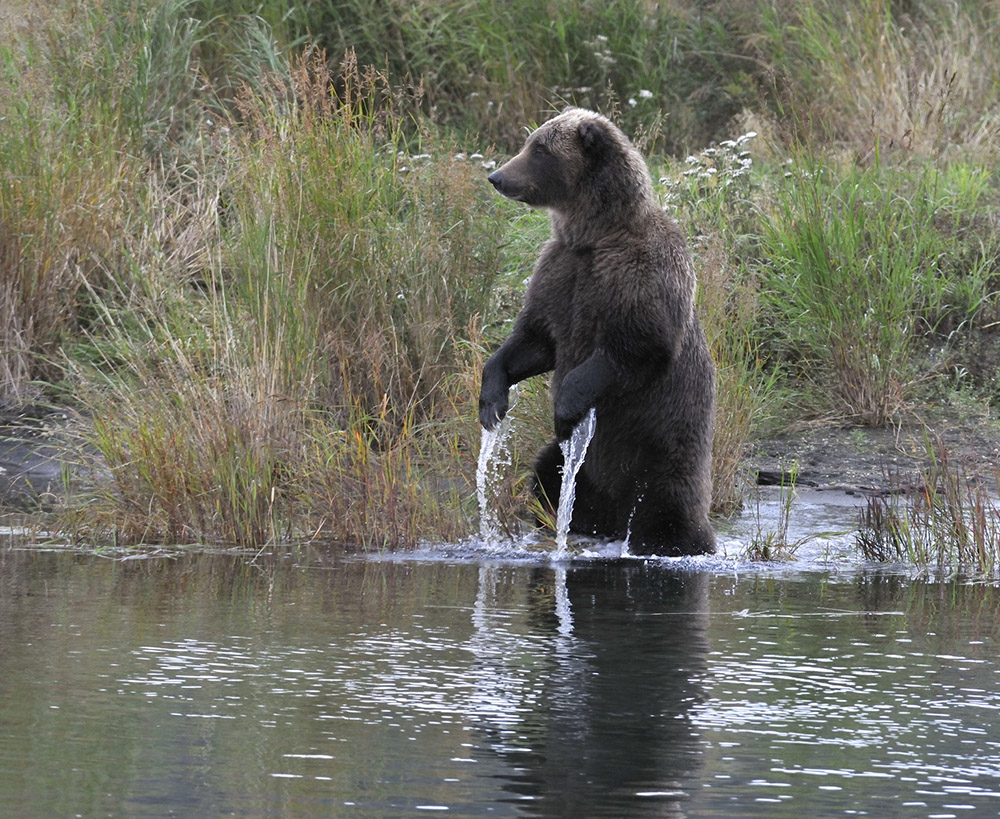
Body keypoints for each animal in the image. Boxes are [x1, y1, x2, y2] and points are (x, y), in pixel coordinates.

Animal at [480, 105, 716, 556]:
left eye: (539, 149)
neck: (594, 234)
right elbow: (535, 341)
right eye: (530, 142)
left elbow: (634, 349)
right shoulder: (558, 271)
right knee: (548, 473)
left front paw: (565, 409)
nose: (497, 176)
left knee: (667, 513)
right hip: (583, 471)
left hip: (661, 457)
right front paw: (491, 401)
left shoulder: (639, 275)